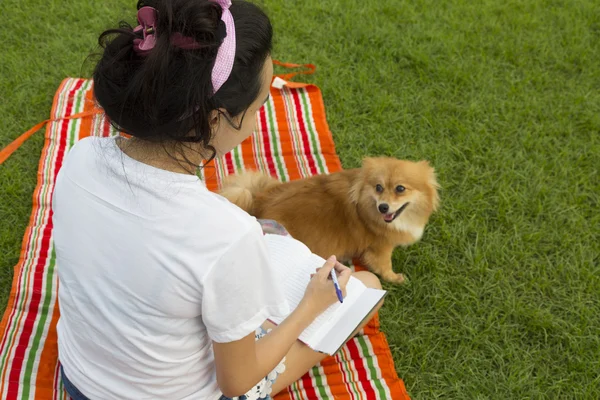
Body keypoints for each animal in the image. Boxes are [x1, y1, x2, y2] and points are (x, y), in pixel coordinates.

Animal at [220, 157, 440, 284]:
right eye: (378, 187)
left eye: (400, 189)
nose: (383, 207)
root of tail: (258, 202)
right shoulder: (381, 247)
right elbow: (384, 266)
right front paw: (395, 279)